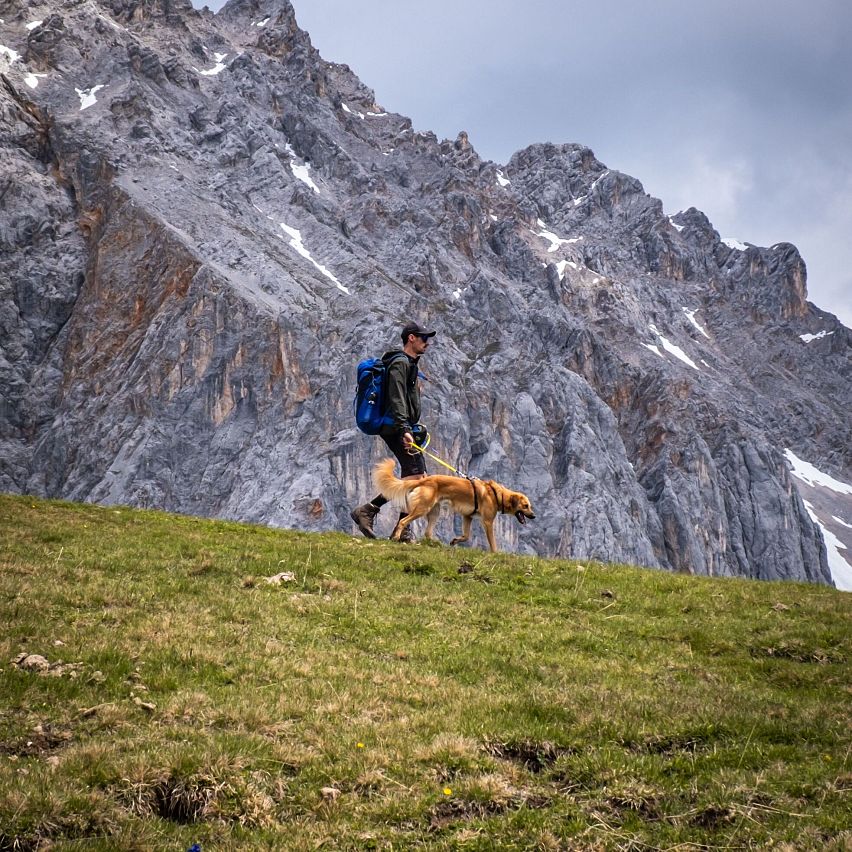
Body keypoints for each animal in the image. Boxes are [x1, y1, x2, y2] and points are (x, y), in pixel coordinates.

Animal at [372, 460, 532, 552]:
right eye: (525, 506)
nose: (534, 516)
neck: (496, 494)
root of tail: (424, 480)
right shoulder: (487, 522)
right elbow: (492, 542)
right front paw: (495, 554)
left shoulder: (467, 517)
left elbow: (466, 536)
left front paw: (455, 541)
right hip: (422, 508)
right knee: (403, 521)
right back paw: (396, 537)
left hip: (434, 512)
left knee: (427, 533)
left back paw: (435, 543)